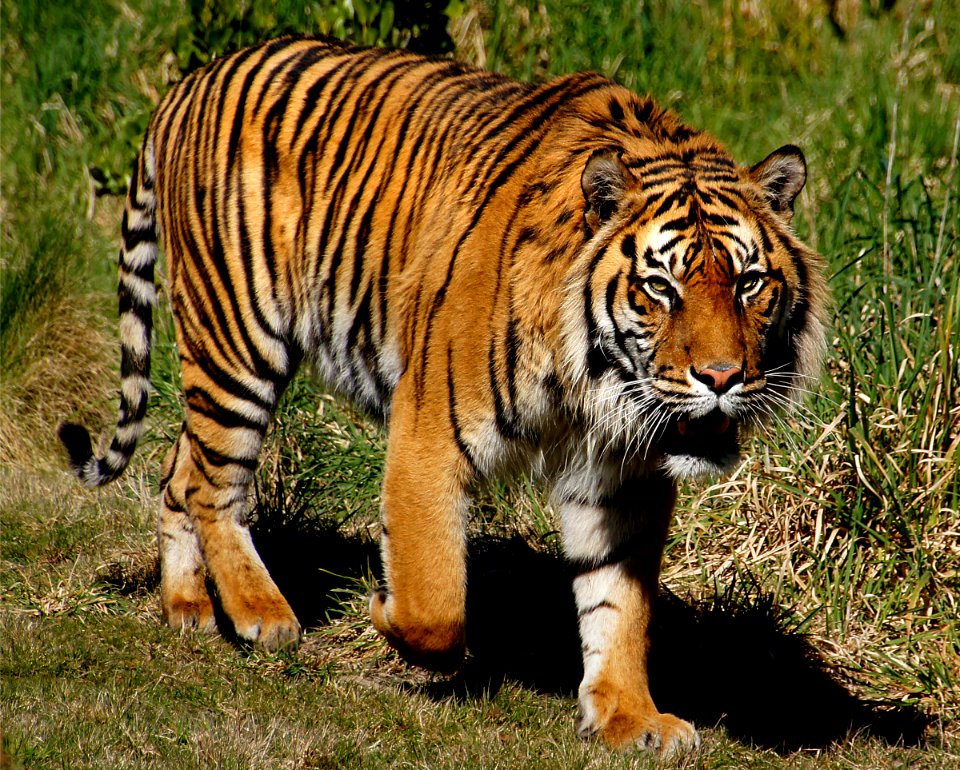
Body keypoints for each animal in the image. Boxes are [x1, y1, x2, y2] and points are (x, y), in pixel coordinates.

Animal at [58, 34, 824, 752]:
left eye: (749, 283)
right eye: (660, 287)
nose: (721, 377)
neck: (596, 383)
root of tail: (189, 82)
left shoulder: (622, 477)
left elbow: (620, 604)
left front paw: (630, 716)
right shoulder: (429, 427)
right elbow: (436, 602)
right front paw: (381, 611)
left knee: (180, 470)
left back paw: (187, 605)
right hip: (238, 336)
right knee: (215, 483)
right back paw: (260, 613)